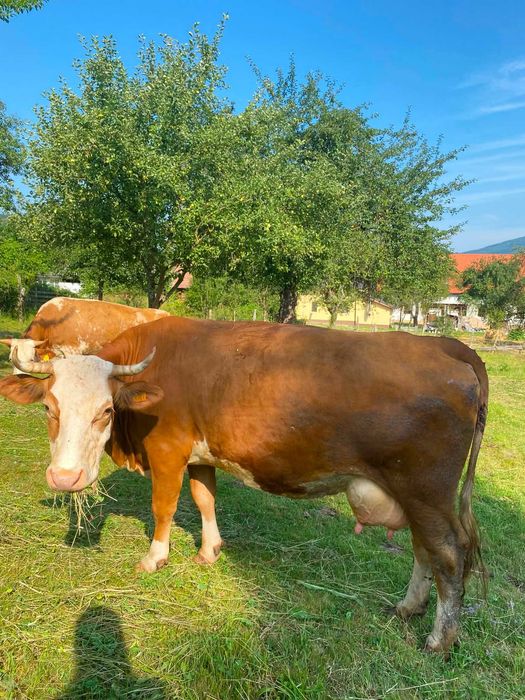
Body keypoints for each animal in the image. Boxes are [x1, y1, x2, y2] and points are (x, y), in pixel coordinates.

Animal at [0, 317, 488, 654]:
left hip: (426, 489)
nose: (65, 477)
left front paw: (155, 558)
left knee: (448, 554)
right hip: (417, 496)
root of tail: (443, 345)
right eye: (49, 408)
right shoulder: (201, 455)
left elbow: (164, 506)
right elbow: (204, 500)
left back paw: (439, 640)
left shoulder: (167, 450)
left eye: (105, 411)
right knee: (425, 549)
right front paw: (209, 550)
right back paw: (408, 608)